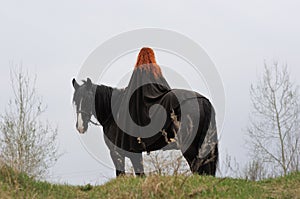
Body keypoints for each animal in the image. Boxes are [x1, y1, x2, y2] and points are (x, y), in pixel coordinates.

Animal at [72, 78, 218, 177]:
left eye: (88, 99)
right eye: (75, 101)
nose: (80, 126)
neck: (115, 112)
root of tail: (202, 100)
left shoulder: (117, 153)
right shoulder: (135, 154)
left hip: (190, 148)